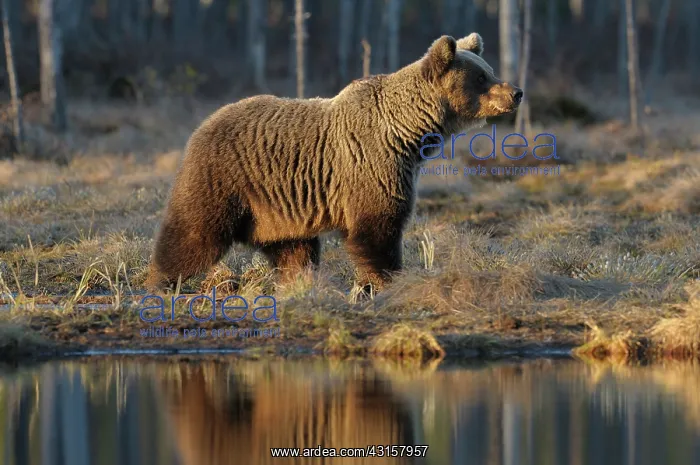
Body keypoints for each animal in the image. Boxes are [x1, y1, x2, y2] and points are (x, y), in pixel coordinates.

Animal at [145, 33, 523, 293]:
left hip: (276, 208)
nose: (516, 92)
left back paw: (300, 283)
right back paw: (160, 282)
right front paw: (387, 280)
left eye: (489, 70)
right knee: (194, 233)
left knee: (294, 250)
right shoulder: (372, 165)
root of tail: (203, 124)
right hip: (225, 178)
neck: (408, 132)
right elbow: (377, 229)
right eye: (481, 78)